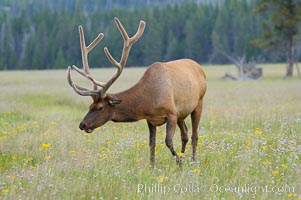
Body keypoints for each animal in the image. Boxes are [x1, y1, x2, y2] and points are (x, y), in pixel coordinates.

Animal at [66, 18, 205, 165]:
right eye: (89, 106)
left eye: (100, 108)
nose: (82, 124)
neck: (149, 101)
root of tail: (199, 67)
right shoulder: (151, 119)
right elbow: (152, 144)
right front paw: (153, 165)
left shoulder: (172, 113)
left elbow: (168, 141)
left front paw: (179, 163)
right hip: (182, 114)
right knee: (185, 134)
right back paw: (184, 156)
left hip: (198, 103)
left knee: (194, 135)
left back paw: (192, 160)